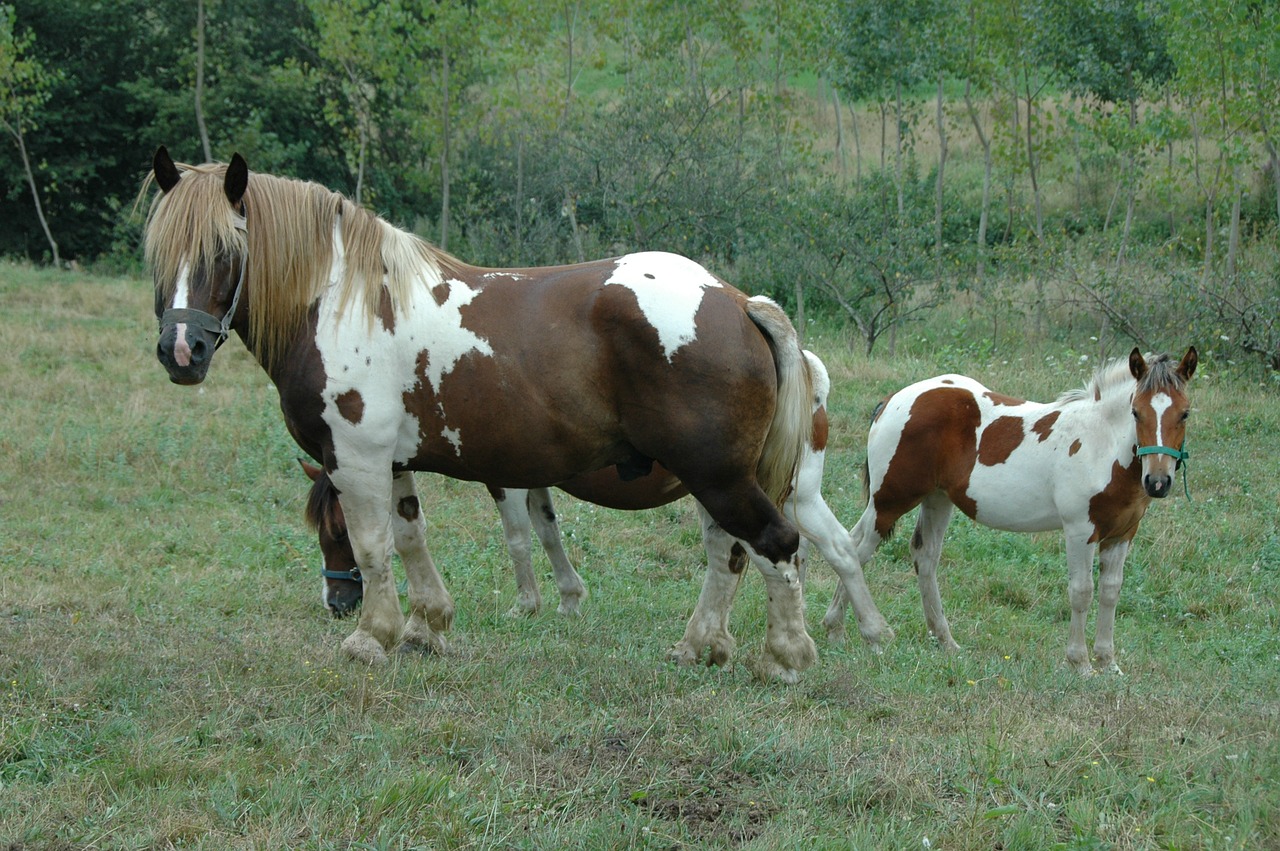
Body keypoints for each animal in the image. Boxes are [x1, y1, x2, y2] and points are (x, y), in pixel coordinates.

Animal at [299, 348, 901, 660]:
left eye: (336, 532)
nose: (336, 602)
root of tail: (803, 368)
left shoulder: (504, 483)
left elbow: (519, 539)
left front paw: (528, 603)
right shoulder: (534, 481)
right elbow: (547, 530)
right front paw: (568, 598)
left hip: (782, 495)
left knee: (835, 550)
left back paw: (867, 630)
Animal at [824, 348, 1192, 675]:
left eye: (1185, 413)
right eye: (1136, 412)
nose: (1158, 482)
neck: (1101, 445)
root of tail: (892, 401)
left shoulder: (1122, 534)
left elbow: (1111, 593)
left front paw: (1108, 663)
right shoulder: (1080, 530)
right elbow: (1082, 592)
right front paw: (1080, 663)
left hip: (936, 499)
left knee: (922, 556)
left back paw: (944, 642)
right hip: (890, 501)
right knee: (855, 549)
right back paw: (842, 631)